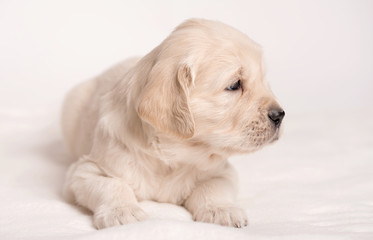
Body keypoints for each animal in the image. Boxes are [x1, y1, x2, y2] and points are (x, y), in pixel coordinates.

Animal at [61, 18, 284, 229]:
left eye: (264, 81)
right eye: (234, 85)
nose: (280, 115)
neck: (176, 154)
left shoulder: (222, 171)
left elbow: (213, 186)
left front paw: (222, 210)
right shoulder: (85, 171)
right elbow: (112, 186)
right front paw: (122, 212)